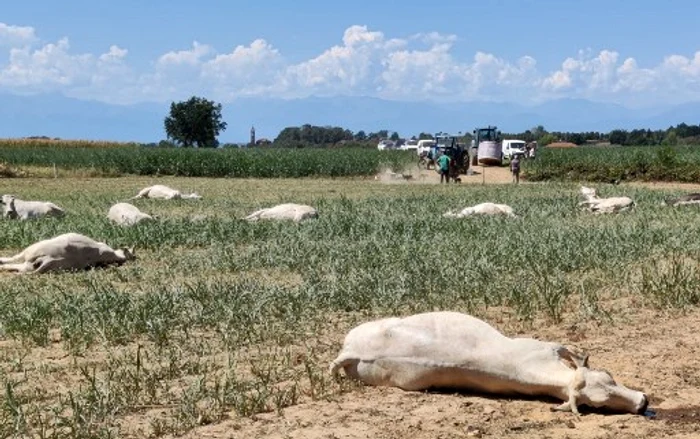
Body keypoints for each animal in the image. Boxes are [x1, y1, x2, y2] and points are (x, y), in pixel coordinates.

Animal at [330, 312, 648, 416]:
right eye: (598, 405)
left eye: (610, 377)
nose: (643, 402)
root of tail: (350, 351)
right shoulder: (544, 346)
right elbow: (568, 349)